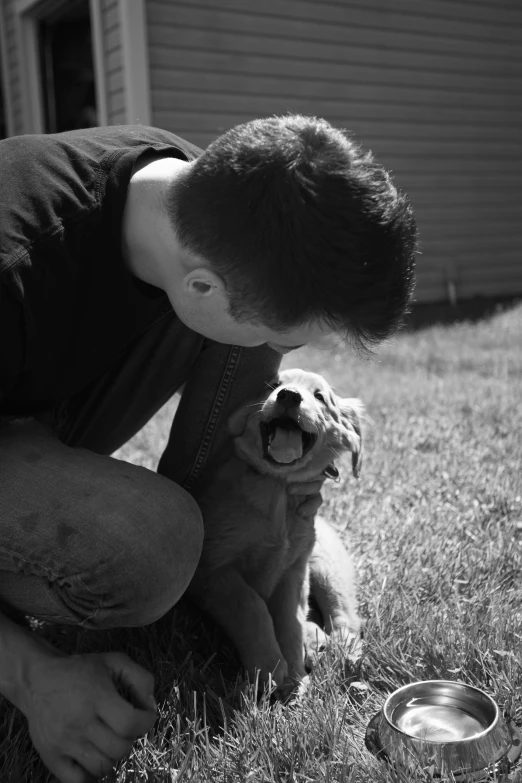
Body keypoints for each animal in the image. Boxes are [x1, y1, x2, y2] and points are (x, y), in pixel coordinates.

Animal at [187, 370, 362, 696]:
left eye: (320, 397)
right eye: (273, 385)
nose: (289, 396)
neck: (279, 488)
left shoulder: (295, 571)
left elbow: (289, 622)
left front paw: (293, 675)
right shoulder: (212, 568)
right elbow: (252, 606)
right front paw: (269, 666)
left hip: (326, 568)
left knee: (345, 618)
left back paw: (342, 651)